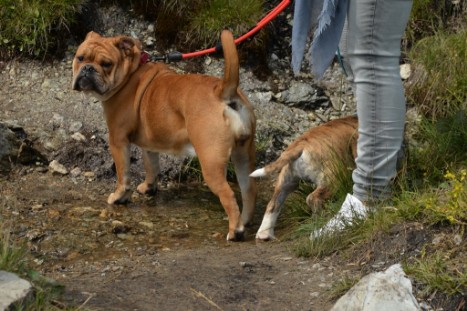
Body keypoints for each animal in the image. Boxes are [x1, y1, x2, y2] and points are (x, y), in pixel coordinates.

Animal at [71, 30, 258, 243]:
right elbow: (151, 166)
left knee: (228, 194)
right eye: (80, 58)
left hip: (211, 161)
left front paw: (119, 197)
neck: (130, 73)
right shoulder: (149, 145)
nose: (87, 68)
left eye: (106, 64)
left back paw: (236, 231)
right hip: (243, 154)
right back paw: (246, 221)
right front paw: (148, 187)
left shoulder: (118, 141)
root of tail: (224, 91)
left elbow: (123, 175)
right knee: (249, 189)